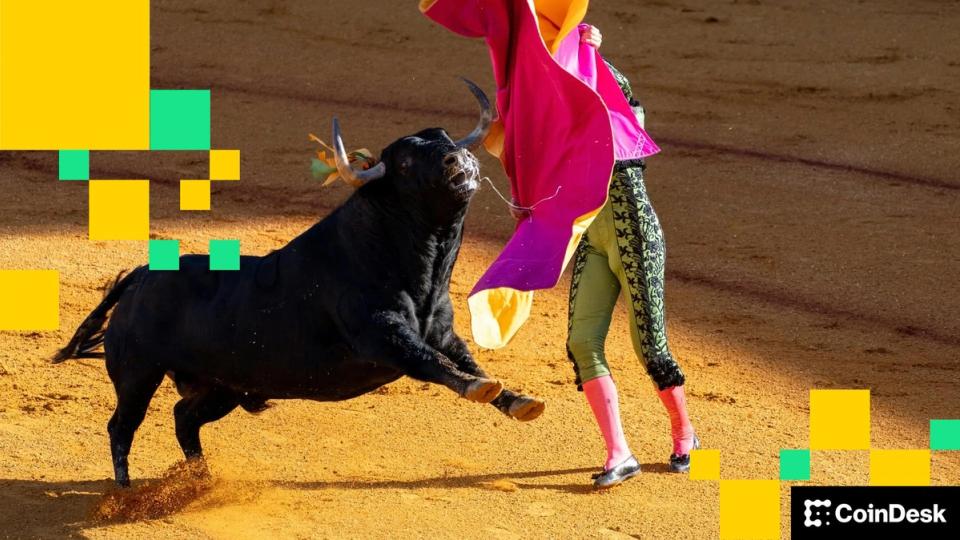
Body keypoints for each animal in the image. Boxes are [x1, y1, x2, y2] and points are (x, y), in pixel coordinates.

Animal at [53, 80, 544, 487]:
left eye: (444, 138)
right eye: (404, 163)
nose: (457, 158)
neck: (417, 266)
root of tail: (142, 275)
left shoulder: (441, 331)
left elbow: (467, 361)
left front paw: (519, 401)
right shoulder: (383, 335)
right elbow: (433, 364)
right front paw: (481, 389)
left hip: (223, 386)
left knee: (183, 418)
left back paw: (201, 479)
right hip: (139, 371)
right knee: (123, 425)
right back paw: (126, 490)